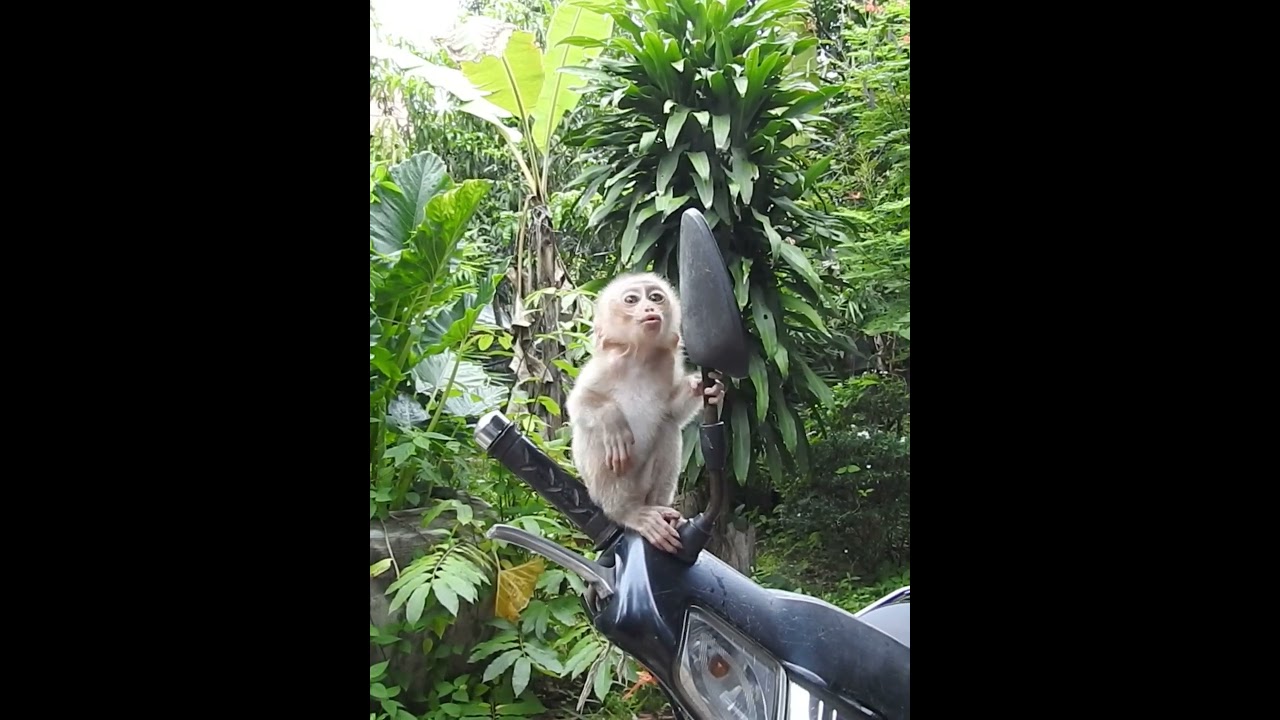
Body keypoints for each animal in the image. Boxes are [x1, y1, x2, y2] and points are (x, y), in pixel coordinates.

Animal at [566, 272, 724, 554]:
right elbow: (580, 404)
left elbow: (672, 411)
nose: (650, 308)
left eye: (656, 297)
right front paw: (613, 421)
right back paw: (628, 513)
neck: (640, 358)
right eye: (631, 300)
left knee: (667, 427)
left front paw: (706, 388)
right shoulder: (606, 365)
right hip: (609, 489)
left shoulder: (666, 362)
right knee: (597, 438)